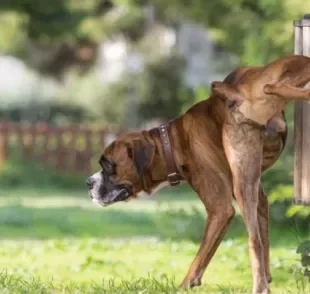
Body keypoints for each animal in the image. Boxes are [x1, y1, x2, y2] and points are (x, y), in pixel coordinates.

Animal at [85, 55, 310, 294]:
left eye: (108, 165)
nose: (88, 182)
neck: (172, 143)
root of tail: (235, 90)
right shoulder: (259, 198)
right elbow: (264, 238)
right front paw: (267, 277)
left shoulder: (220, 209)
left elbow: (201, 255)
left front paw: (184, 285)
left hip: (242, 182)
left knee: (253, 241)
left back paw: (258, 287)